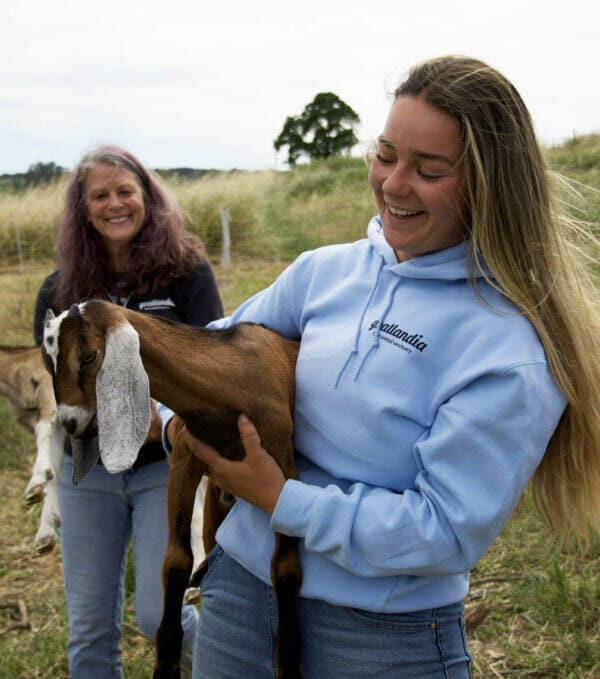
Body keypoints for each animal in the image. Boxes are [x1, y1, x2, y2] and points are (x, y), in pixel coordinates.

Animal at [41, 300, 302, 679]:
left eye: (89, 356)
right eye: (49, 361)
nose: (71, 422)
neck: (232, 382)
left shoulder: (283, 465)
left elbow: (285, 567)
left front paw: (290, 661)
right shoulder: (184, 456)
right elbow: (176, 560)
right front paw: (166, 662)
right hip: (215, 502)